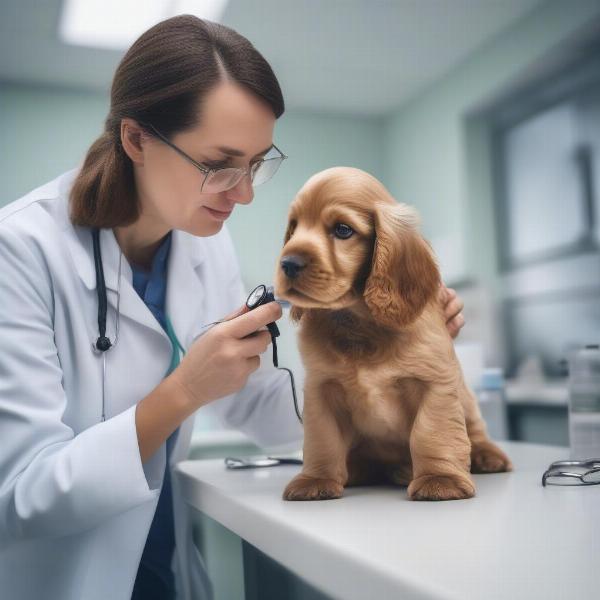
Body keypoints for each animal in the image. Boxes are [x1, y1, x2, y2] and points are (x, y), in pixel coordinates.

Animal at [274, 168, 512, 502]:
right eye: (294, 228)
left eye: (343, 230)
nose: (288, 263)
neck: (360, 323)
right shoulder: (320, 389)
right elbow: (322, 440)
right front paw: (315, 480)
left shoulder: (435, 383)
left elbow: (430, 432)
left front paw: (439, 479)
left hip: (465, 396)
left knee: (476, 428)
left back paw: (485, 455)